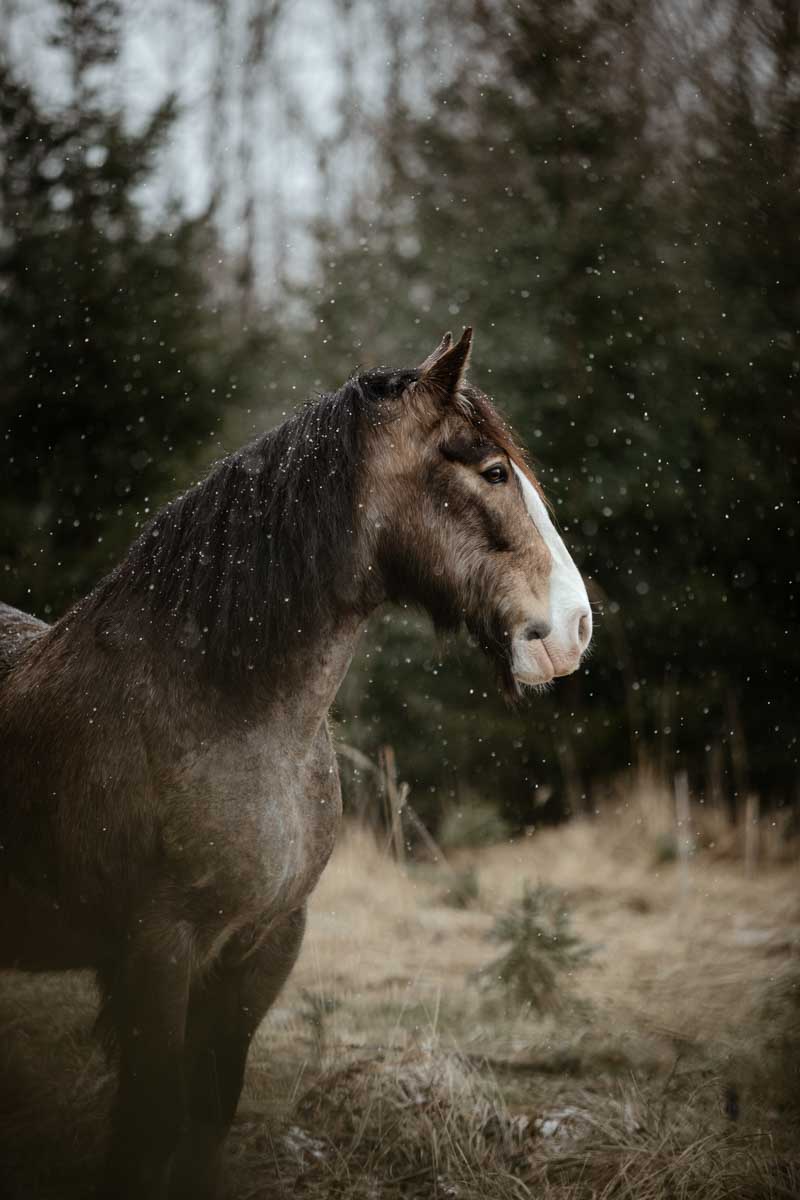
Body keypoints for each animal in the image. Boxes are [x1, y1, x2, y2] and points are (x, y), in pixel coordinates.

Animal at [0, 324, 587, 1195]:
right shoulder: (153, 955)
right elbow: (146, 1132)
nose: (575, 627)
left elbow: (208, 1117)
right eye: (491, 471)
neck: (219, 711)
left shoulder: (265, 946)